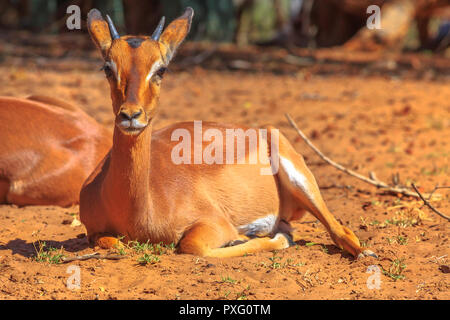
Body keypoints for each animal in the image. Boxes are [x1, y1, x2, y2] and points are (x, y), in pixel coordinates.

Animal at [81, 7, 376, 260]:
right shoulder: (93, 230)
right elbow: (111, 242)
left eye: (161, 69)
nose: (131, 115)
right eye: (107, 67)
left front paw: (254, 238)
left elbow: (192, 246)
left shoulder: (214, 223)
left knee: (339, 231)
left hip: (301, 181)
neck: (138, 209)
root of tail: (258, 131)